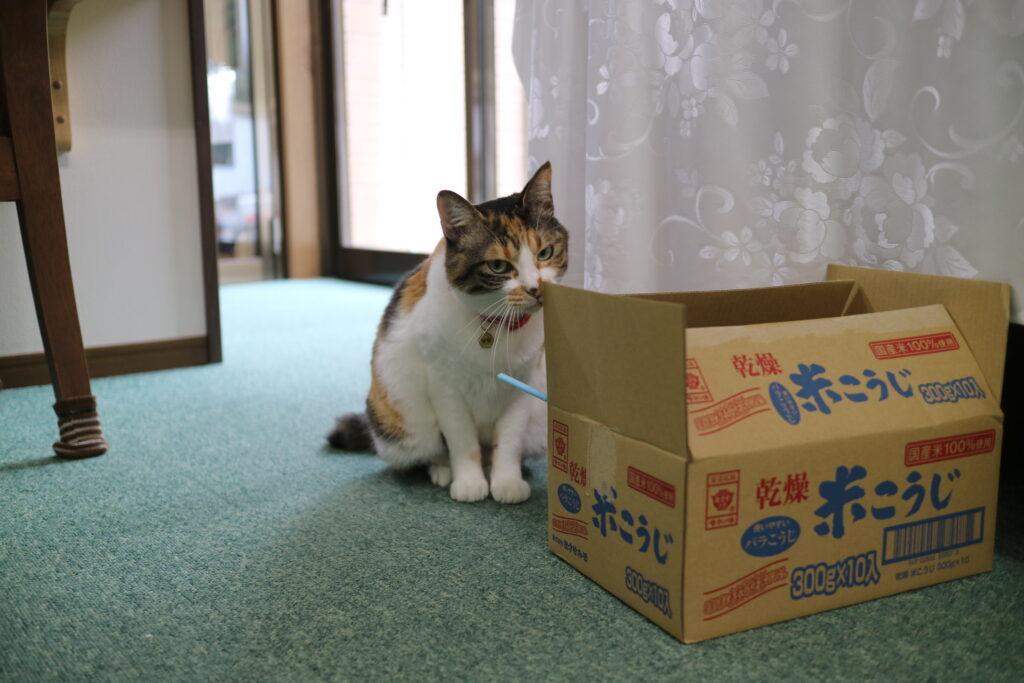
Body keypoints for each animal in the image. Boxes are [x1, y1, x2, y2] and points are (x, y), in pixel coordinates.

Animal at [328, 162, 568, 503]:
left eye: (545, 253)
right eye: (498, 266)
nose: (535, 289)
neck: (496, 327)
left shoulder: (523, 383)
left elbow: (508, 441)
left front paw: (507, 481)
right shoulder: (444, 387)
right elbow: (461, 441)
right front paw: (468, 483)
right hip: (406, 422)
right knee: (433, 448)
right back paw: (442, 471)